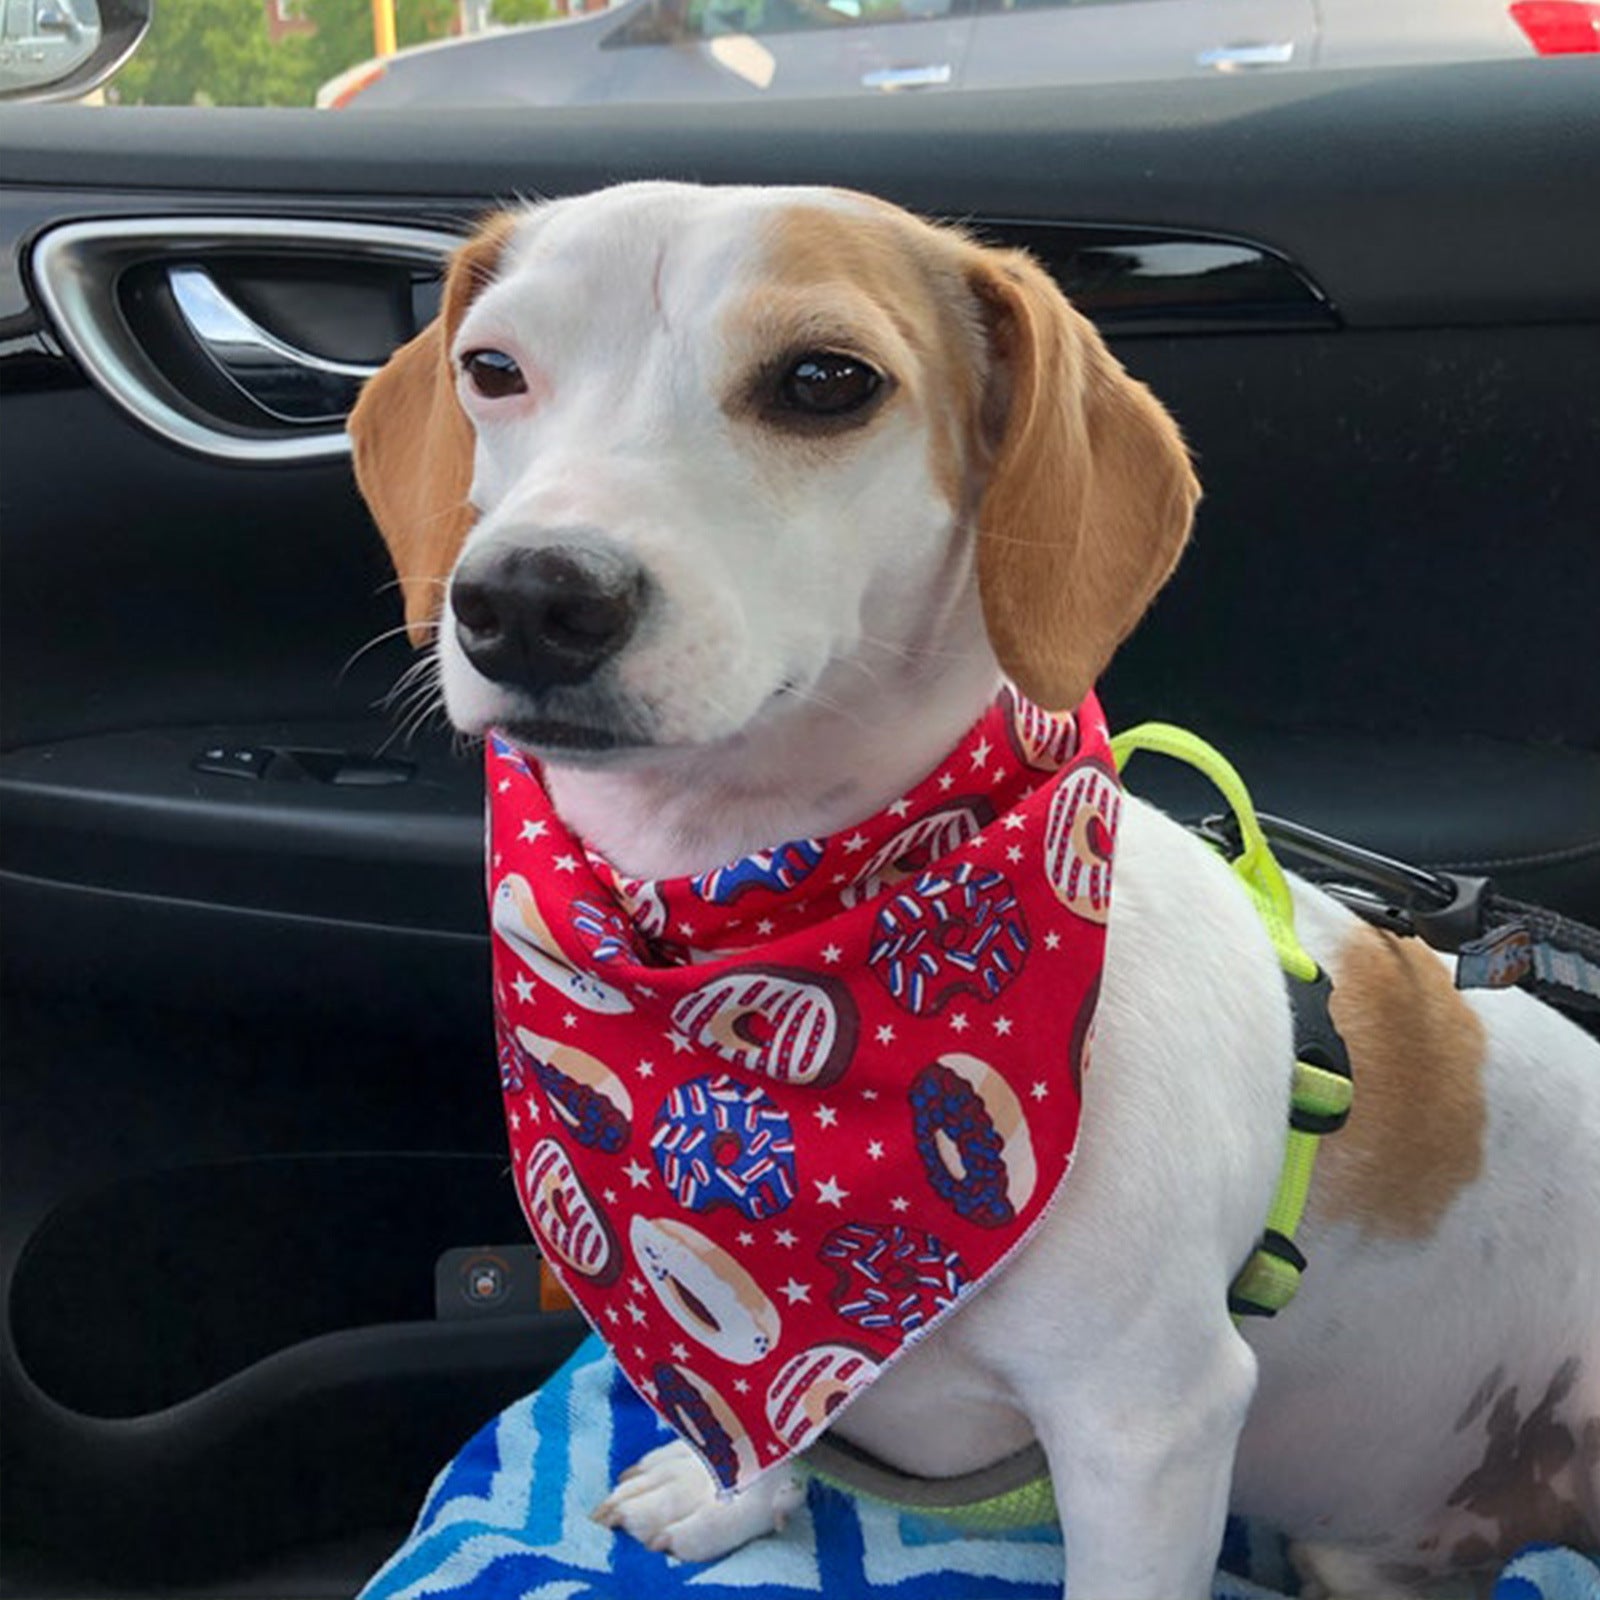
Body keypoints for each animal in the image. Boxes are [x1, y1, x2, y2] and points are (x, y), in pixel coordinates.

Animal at [353, 184, 1600, 1600]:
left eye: (826, 379)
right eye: (492, 369)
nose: (525, 598)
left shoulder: (1147, 1430)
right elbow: (764, 1407)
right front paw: (733, 1494)